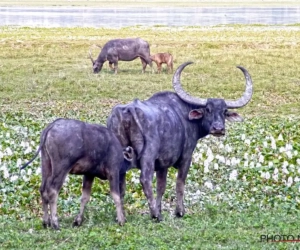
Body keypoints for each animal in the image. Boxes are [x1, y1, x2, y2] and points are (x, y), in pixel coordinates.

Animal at [108, 62, 253, 221]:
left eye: (225, 111)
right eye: (208, 109)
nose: (218, 128)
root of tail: (128, 110)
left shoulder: (163, 164)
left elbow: (161, 186)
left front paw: (161, 210)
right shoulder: (186, 158)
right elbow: (180, 184)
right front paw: (179, 211)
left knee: (118, 183)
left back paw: (122, 216)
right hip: (148, 156)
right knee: (145, 180)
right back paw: (154, 215)